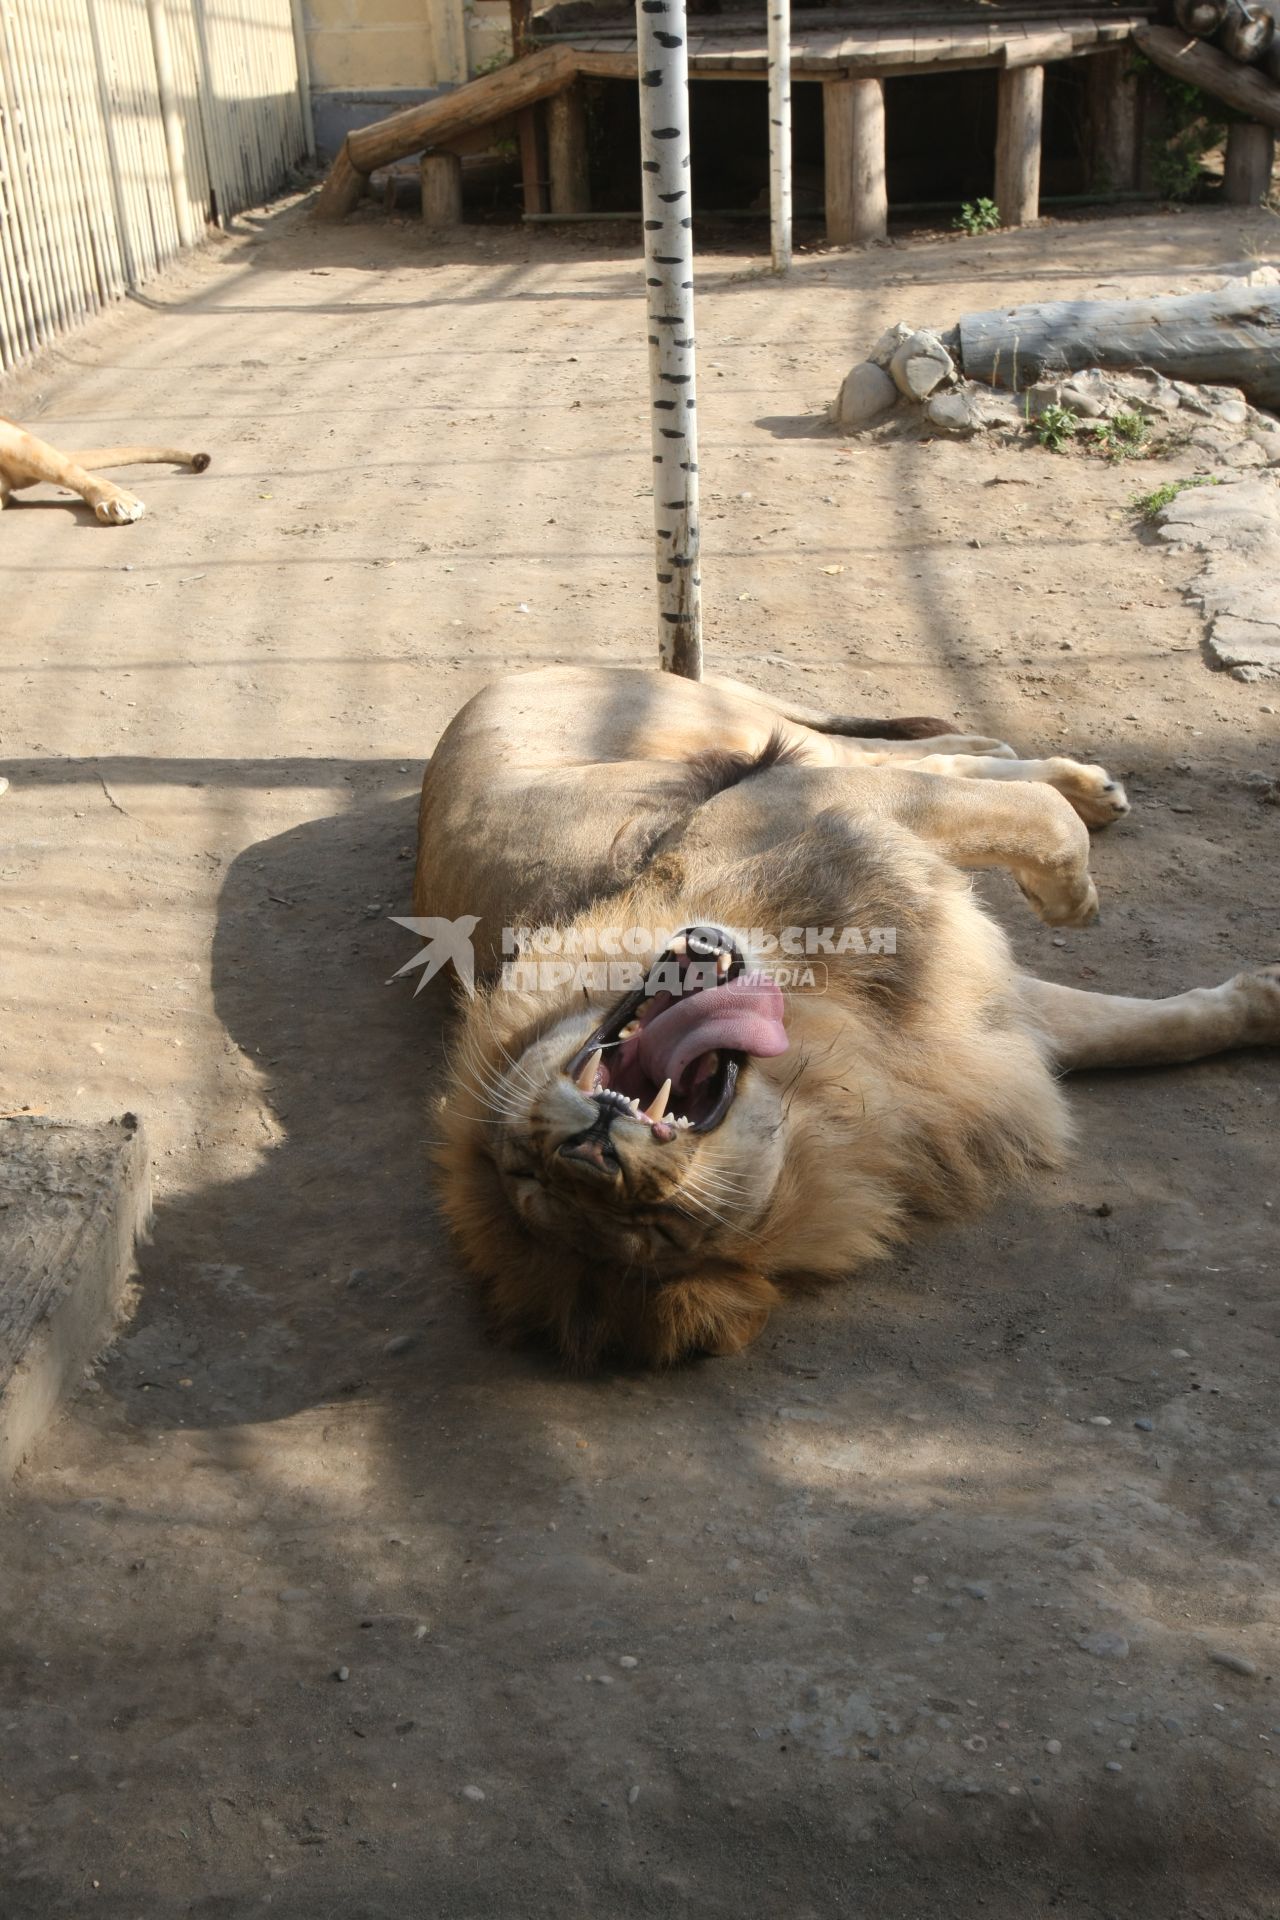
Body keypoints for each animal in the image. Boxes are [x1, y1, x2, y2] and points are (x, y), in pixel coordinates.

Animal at [416, 668, 1274, 1374]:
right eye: (658, 1228)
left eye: (526, 1163)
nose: (589, 1152)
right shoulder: (978, 1024)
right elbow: (1138, 1030)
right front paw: (1263, 1005)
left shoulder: (810, 810)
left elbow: (1038, 822)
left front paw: (1074, 898)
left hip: (723, 724)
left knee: (904, 752)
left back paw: (1075, 782)